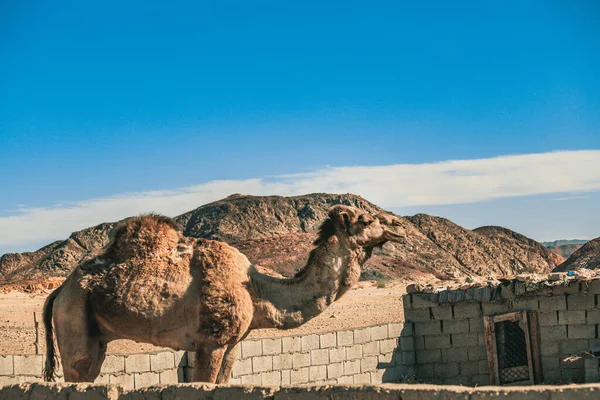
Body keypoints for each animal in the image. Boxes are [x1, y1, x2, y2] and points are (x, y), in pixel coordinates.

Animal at [44, 205, 406, 382]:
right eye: (366, 219)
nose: (400, 226)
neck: (257, 290)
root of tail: (59, 291)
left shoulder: (232, 345)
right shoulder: (210, 342)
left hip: (95, 335)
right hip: (74, 318)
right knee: (78, 368)